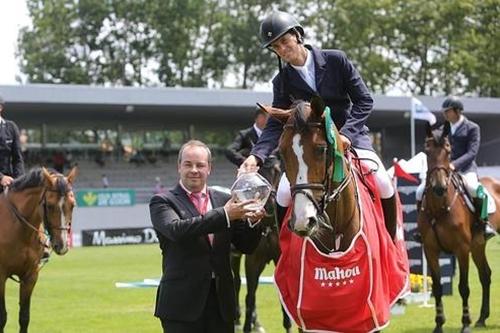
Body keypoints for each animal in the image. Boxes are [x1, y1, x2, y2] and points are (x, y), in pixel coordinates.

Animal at [0, 166, 77, 332]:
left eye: (73, 205)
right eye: (50, 205)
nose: (61, 246)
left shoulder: (30, 276)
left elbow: (24, 317)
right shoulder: (0, 276)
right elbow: (2, 317)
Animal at [420, 122, 498, 332]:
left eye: (448, 151)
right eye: (427, 151)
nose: (439, 188)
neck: (439, 208)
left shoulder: (461, 249)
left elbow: (463, 287)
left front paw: (465, 324)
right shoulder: (430, 250)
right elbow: (437, 287)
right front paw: (439, 324)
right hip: (478, 245)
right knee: (485, 275)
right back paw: (481, 319)